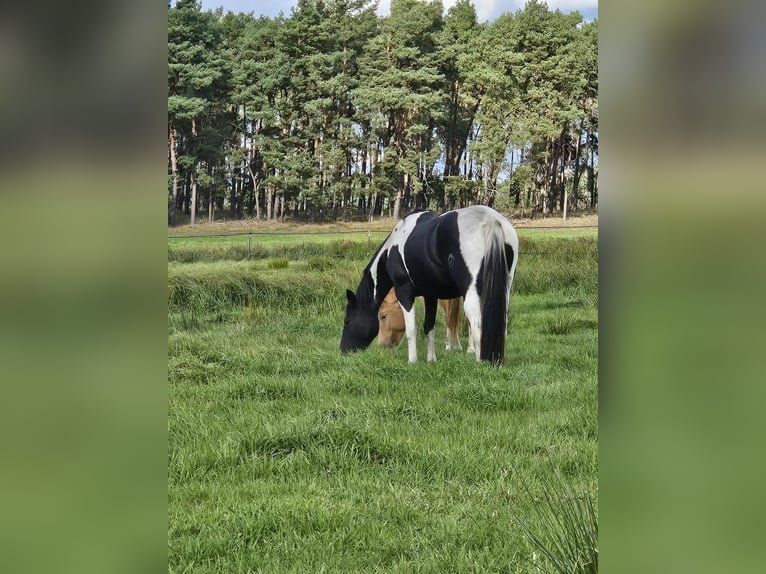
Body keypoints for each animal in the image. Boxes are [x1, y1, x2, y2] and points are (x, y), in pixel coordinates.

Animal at [340, 205, 518, 364]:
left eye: (347, 320)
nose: (343, 350)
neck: (393, 247)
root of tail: (491, 221)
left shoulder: (404, 291)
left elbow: (411, 329)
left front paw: (412, 361)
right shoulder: (430, 295)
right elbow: (429, 326)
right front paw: (431, 359)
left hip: (472, 292)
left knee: (476, 320)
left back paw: (481, 361)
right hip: (504, 287)